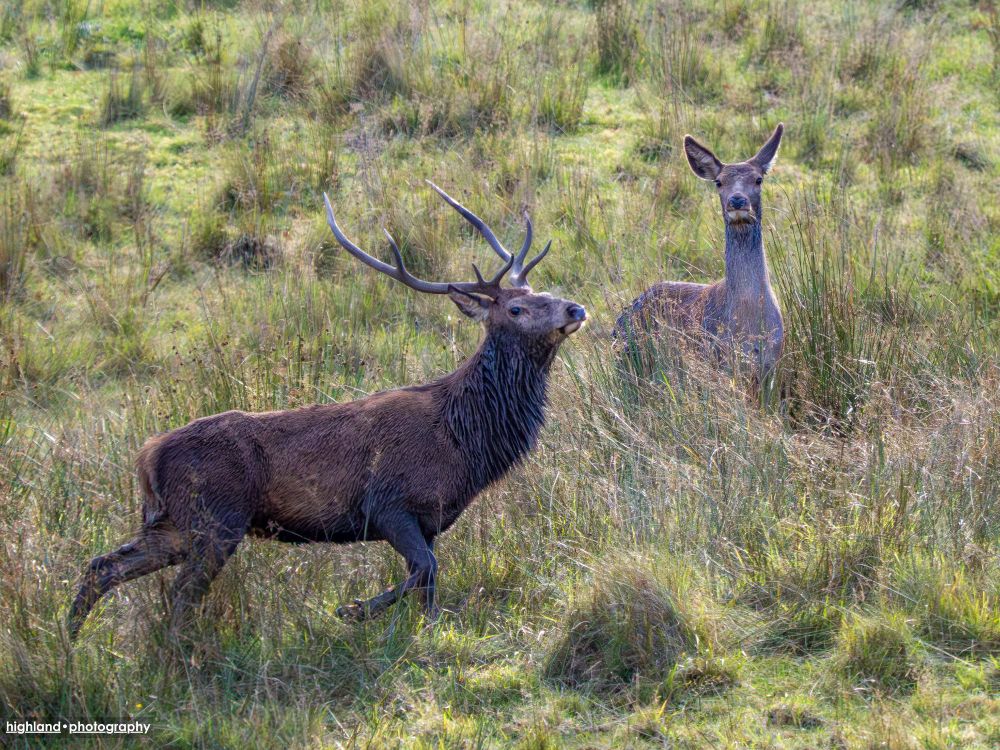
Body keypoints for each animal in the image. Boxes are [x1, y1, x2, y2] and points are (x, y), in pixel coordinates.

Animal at [68, 183, 587, 639]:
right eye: (516, 309)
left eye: (540, 292)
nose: (575, 309)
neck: (465, 441)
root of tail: (146, 456)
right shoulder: (388, 503)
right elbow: (424, 569)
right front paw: (350, 610)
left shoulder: (431, 519)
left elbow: (429, 587)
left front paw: (426, 632)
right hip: (216, 518)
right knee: (179, 595)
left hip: (173, 522)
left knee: (103, 565)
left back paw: (70, 645)